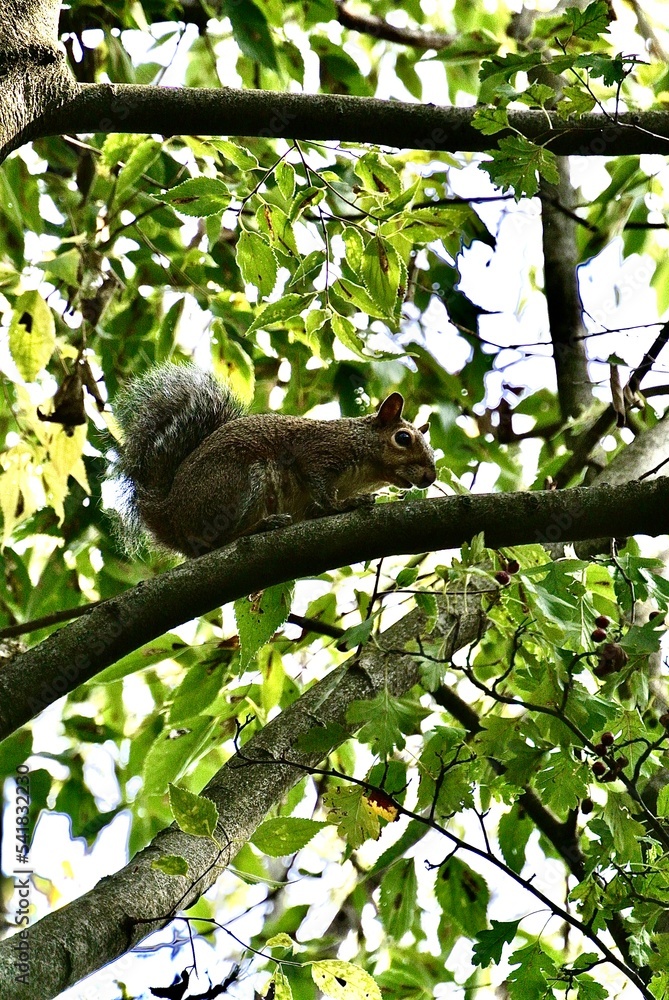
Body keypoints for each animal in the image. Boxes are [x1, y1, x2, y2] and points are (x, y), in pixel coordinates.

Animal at [111, 363, 436, 557]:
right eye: (403, 438)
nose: (430, 477)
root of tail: (172, 517)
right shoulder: (318, 452)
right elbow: (322, 489)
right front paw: (346, 504)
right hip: (238, 484)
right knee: (217, 542)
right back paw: (261, 527)